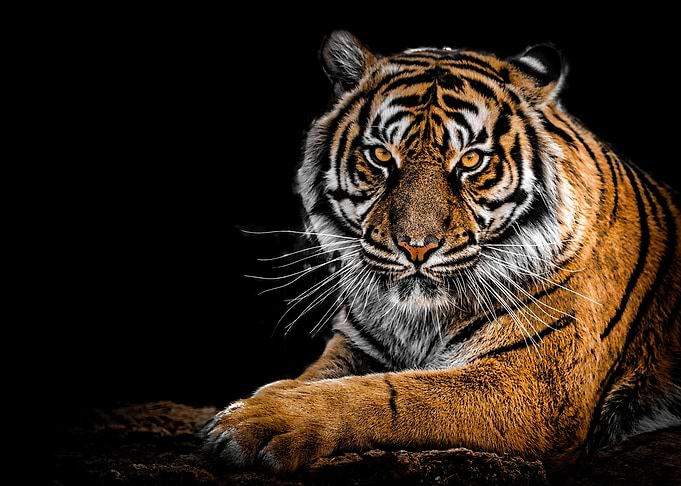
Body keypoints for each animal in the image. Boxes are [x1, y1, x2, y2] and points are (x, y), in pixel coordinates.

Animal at [202, 31, 681, 474]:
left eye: (470, 161)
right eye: (380, 156)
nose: (417, 248)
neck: (418, 319)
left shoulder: (536, 384)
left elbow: (390, 395)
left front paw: (257, 421)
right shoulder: (355, 345)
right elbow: (315, 378)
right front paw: (258, 402)